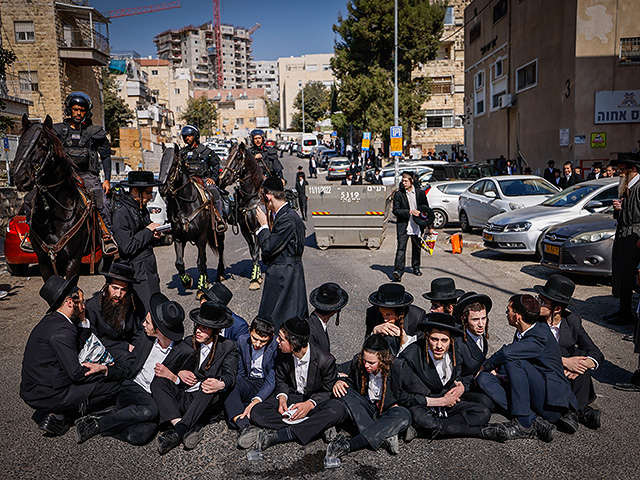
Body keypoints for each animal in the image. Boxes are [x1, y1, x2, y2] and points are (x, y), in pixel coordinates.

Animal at [159, 144, 225, 294]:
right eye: (161, 163)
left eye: (174, 164)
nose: (162, 189)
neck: (186, 204)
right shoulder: (178, 237)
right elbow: (179, 263)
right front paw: (187, 281)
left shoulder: (201, 237)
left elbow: (201, 262)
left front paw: (201, 288)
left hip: (218, 234)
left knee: (220, 251)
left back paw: (220, 274)